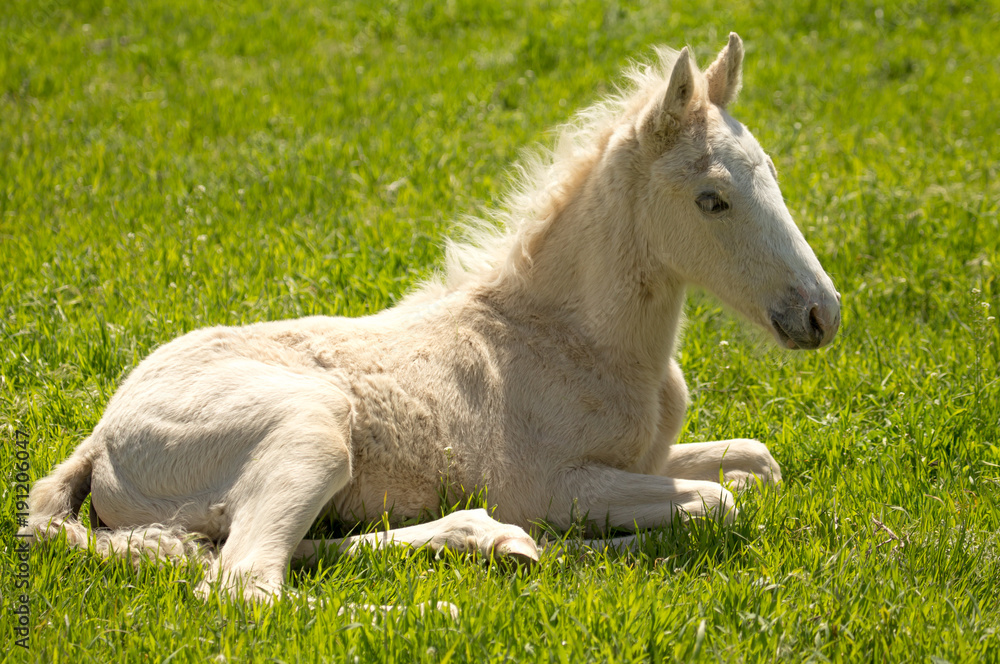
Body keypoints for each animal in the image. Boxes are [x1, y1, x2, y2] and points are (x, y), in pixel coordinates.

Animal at [23, 33, 840, 603]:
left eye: (770, 171)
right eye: (712, 199)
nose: (820, 313)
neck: (574, 339)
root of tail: (101, 438)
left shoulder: (644, 458)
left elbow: (758, 465)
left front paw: (562, 547)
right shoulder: (553, 482)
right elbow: (722, 502)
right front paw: (588, 545)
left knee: (263, 552)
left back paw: (492, 543)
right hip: (310, 432)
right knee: (244, 583)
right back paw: (450, 595)